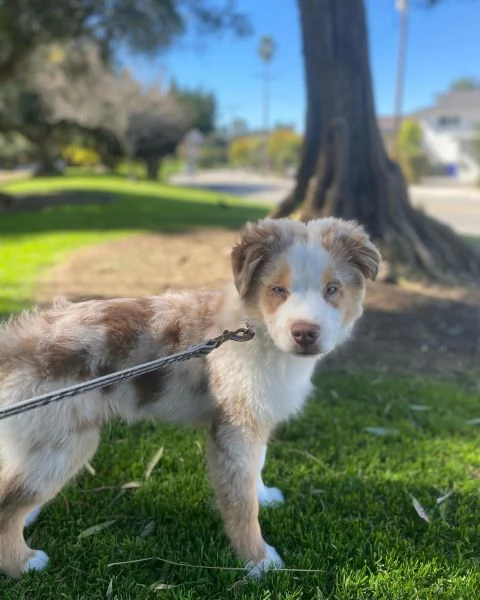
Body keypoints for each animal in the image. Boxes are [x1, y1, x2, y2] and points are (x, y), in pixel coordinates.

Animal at [0, 216, 382, 576]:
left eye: (332, 289)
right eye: (277, 289)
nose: (305, 333)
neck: (256, 331)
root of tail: (14, 345)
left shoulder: (253, 419)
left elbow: (256, 466)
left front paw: (264, 496)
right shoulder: (234, 428)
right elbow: (241, 503)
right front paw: (258, 561)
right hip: (62, 442)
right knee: (7, 505)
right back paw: (24, 563)